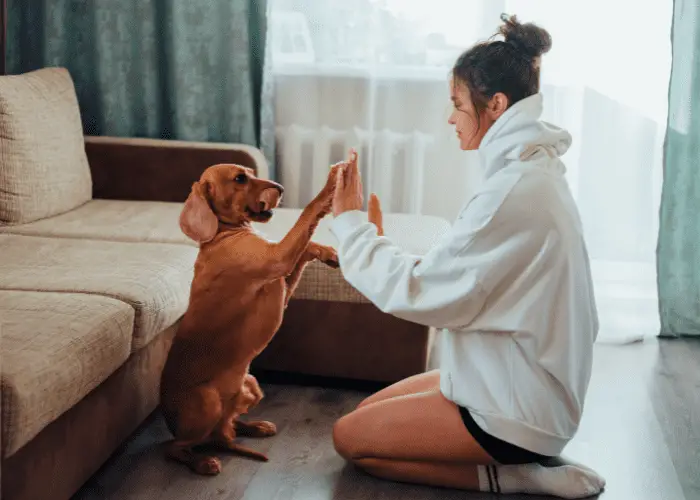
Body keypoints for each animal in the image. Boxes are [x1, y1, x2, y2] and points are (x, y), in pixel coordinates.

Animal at [161, 162, 342, 474]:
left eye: (250, 171)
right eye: (240, 178)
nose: (280, 188)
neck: (222, 234)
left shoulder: (282, 280)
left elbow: (306, 246)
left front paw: (328, 252)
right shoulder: (278, 257)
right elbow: (308, 213)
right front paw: (330, 186)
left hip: (251, 385)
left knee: (229, 425)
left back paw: (255, 427)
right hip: (207, 403)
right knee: (175, 447)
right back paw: (202, 462)